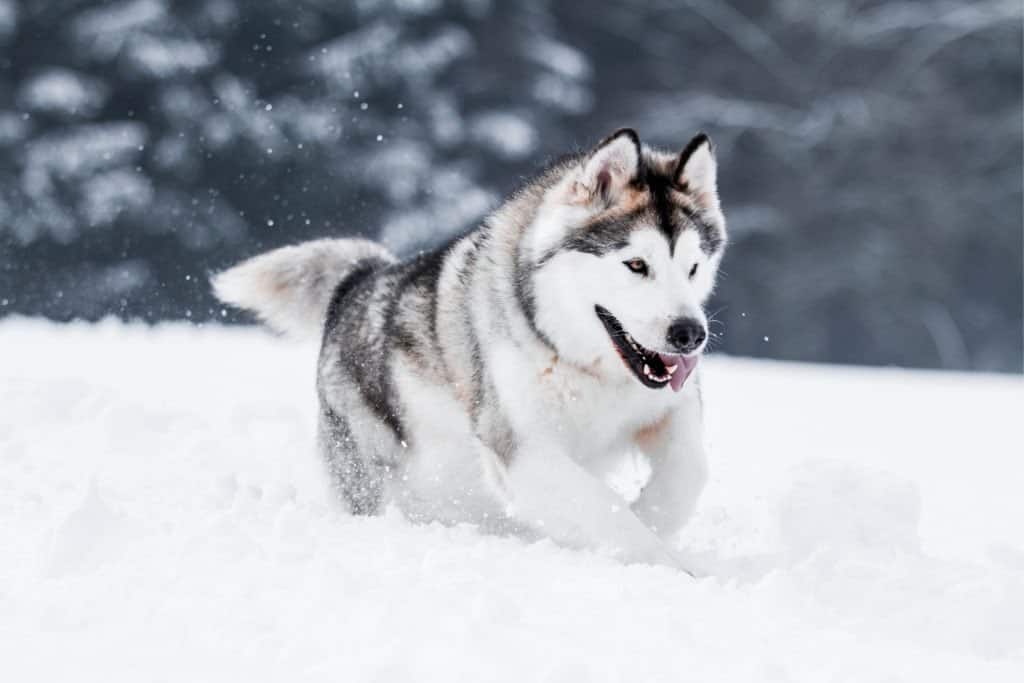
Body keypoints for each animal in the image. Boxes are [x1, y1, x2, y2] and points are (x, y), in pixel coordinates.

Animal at [214, 129, 729, 573]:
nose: (690, 334)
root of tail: (362, 278)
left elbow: (690, 474)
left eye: (693, 267)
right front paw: (664, 562)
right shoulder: (523, 448)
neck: (580, 363)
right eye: (636, 265)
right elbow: (604, 509)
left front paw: (649, 517)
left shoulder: (667, 408)